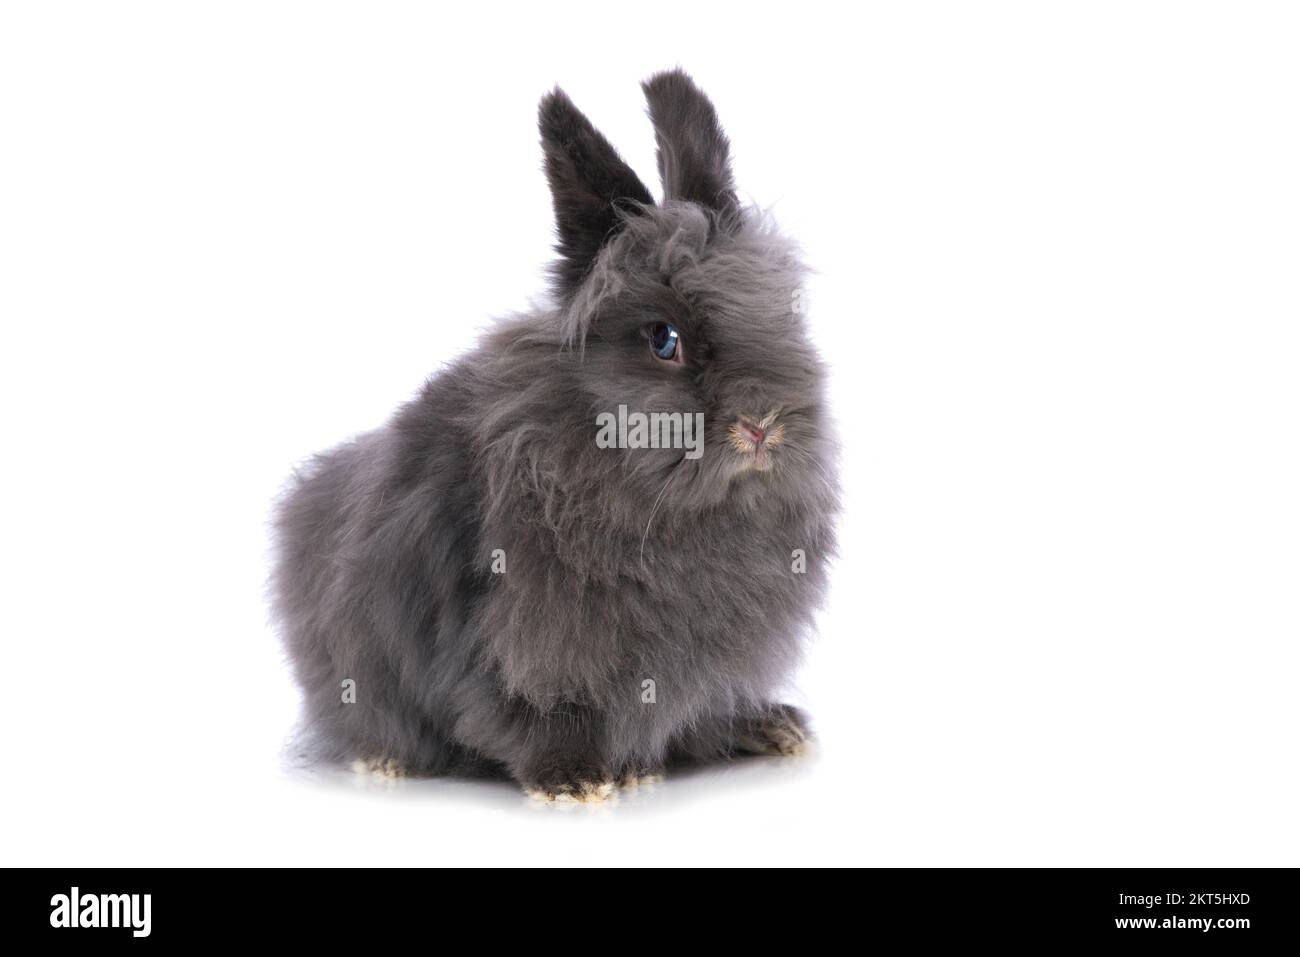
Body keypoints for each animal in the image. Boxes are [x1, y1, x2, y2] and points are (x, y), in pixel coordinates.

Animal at [272, 68, 838, 802]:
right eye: (664, 339)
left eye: (780, 315)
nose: (762, 425)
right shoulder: (522, 634)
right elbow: (529, 706)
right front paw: (577, 778)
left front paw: (757, 730)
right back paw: (388, 761)